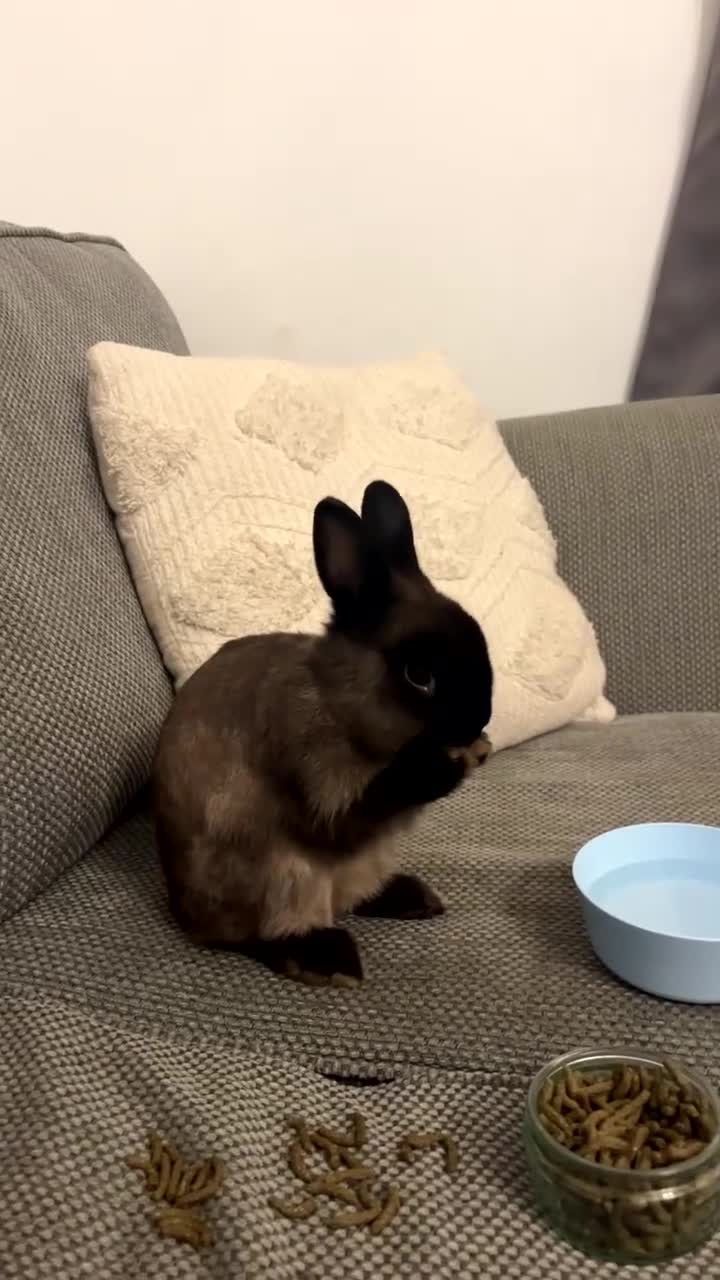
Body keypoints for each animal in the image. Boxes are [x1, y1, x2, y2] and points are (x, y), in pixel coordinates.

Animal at [153, 479, 493, 987]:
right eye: (418, 675)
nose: (478, 721)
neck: (337, 701)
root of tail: (183, 912)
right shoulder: (317, 787)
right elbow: (354, 814)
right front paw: (446, 763)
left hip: (355, 866)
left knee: (352, 898)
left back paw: (413, 898)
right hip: (283, 878)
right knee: (258, 938)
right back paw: (328, 962)